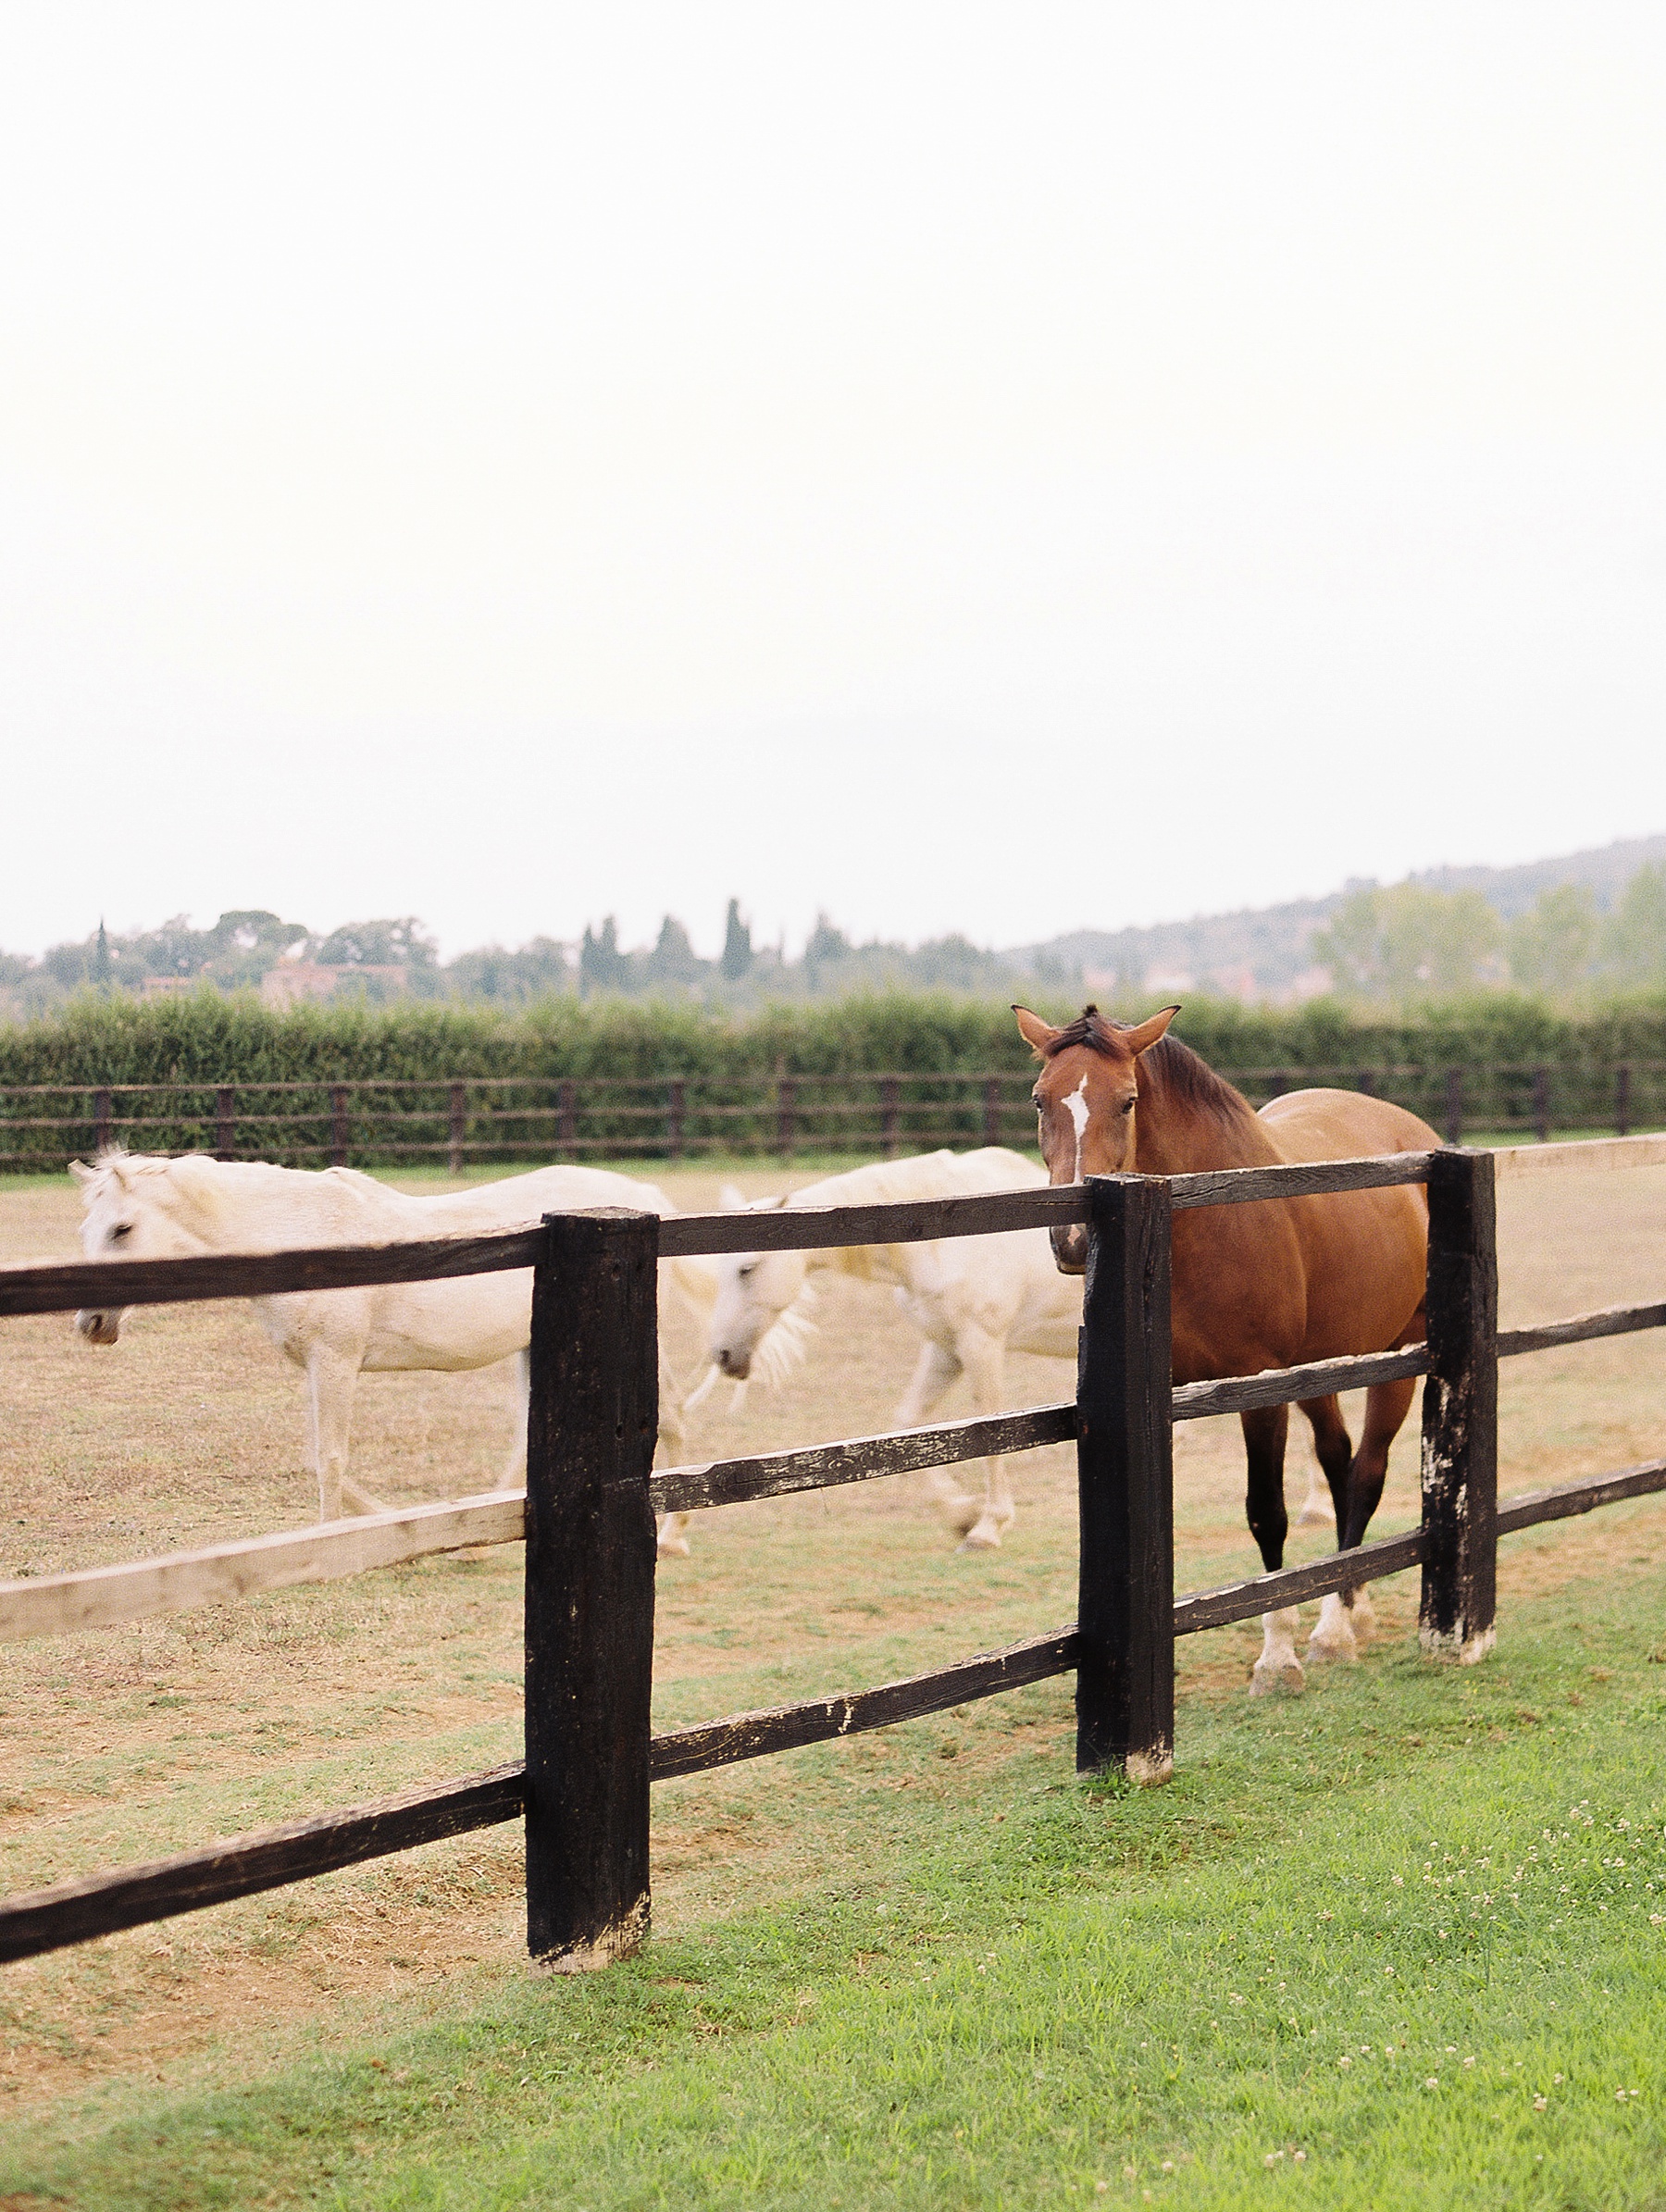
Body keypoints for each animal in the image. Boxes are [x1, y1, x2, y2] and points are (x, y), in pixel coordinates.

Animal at [72, 1149, 716, 1530]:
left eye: (122, 1228)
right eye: (87, 1227)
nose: (90, 1324)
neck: (301, 1233)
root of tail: (641, 1199)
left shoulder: (336, 1362)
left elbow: (329, 1459)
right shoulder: (316, 1368)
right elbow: (317, 1455)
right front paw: (380, 1519)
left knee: (674, 1415)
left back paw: (675, 1536)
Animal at [1009, 1004, 1434, 1689]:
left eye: (1127, 1101)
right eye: (1040, 1099)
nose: (1073, 1241)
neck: (1203, 1216)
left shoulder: (1259, 1391)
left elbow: (1267, 1513)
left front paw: (1278, 1657)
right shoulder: (1168, 1397)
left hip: (1399, 1356)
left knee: (1367, 1472)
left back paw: (1335, 1626)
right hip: (1315, 1369)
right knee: (1339, 1463)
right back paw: (1354, 1603)